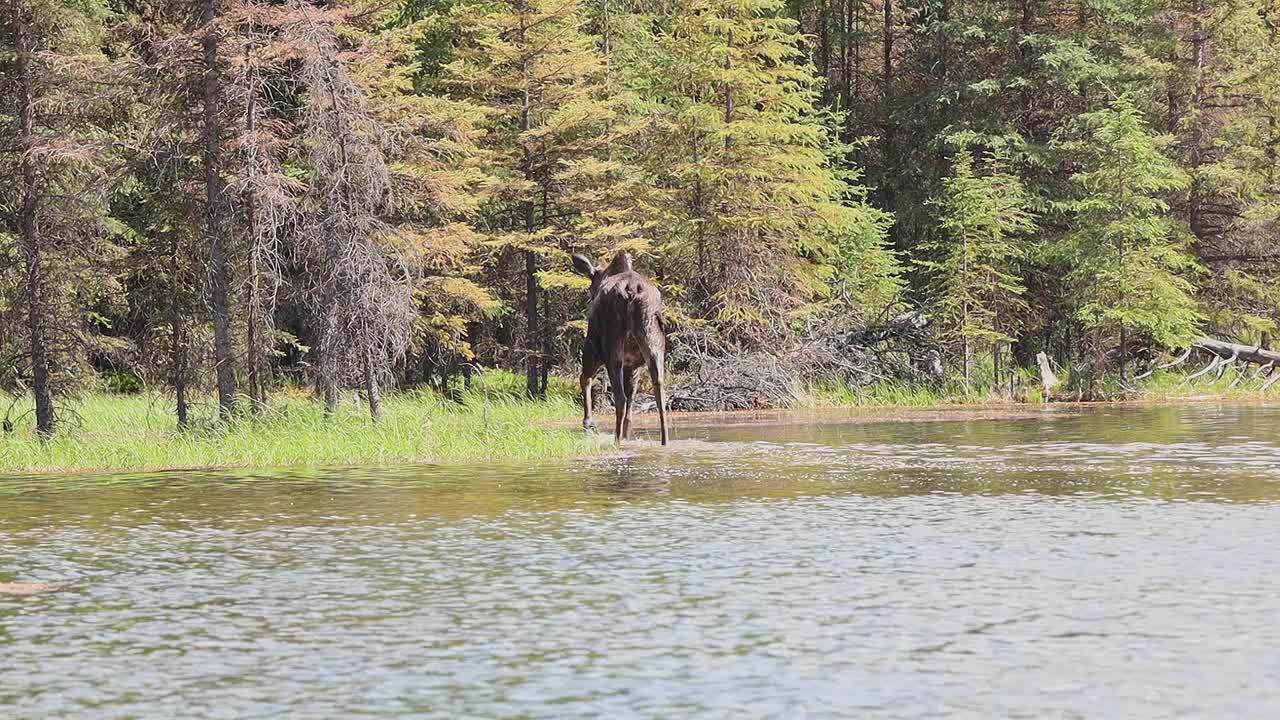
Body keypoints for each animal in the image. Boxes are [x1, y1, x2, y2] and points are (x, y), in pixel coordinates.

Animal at [572, 251, 670, 445]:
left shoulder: (592, 347)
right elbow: (631, 404)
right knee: (659, 392)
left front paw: (588, 423)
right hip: (654, 345)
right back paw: (664, 441)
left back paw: (616, 440)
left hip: (612, 348)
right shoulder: (633, 365)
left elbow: (584, 379)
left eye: (591, 285)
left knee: (619, 397)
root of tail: (631, 291)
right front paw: (626, 434)